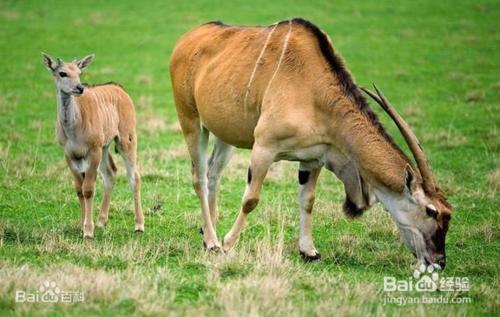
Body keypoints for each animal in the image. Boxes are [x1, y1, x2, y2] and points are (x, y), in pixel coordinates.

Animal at [42, 52, 145, 237]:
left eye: (79, 73)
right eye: (62, 73)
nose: (79, 88)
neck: (73, 127)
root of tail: (121, 90)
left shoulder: (93, 150)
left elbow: (88, 189)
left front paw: (88, 231)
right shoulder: (70, 154)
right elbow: (79, 189)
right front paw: (83, 225)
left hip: (126, 139)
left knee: (134, 176)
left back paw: (139, 225)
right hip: (105, 147)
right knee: (111, 173)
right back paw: (101, 221)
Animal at [169, 17, 454, 266]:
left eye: (448, 214)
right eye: (431, 211)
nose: (439, 262)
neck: (313, 87)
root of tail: (187, 39)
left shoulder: (312, 159)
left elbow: (308, 200)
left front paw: (309, 251)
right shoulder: (264, 148)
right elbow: (251, 199)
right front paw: (228, 244)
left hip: (224, 135)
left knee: (213, 174)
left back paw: (207, 234)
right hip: (191, 122)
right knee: (199, 177)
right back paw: (214, 241)